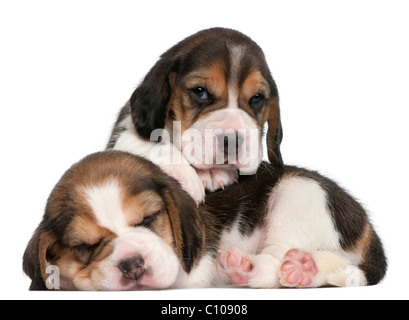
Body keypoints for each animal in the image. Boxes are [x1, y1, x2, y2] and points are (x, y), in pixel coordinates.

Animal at [23, 151, 386, 292]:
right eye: (86, 246)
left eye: (150, 218)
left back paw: (268, 268)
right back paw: (305, 270)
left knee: (278, 260)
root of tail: (367, 226)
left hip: (298, 192)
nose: (132, 265)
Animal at [107, 27, 282, 202]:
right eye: (200, 91)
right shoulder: (120, 137)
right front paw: (186, 175)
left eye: (257, 97)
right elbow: (152, 144)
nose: (232, 141)